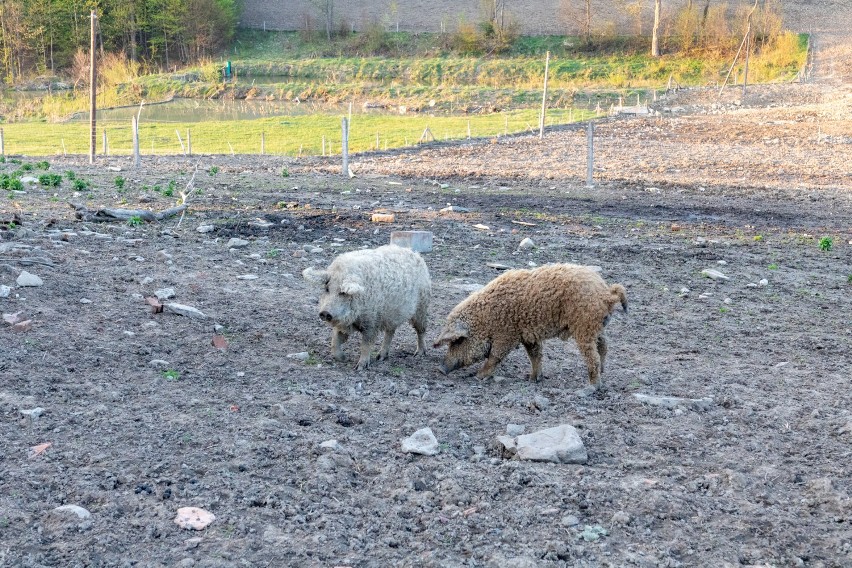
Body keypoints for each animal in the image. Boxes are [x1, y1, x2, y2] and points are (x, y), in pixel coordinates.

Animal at [302, 245, 430, 370]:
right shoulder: (343, 324)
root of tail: (415, 253)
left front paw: (360, 367)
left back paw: (419, 354)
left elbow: (366, 344)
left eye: (342, 292)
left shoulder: (372, 321)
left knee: (420, 330)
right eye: (327, 289)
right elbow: (335, 341)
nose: (324, 312)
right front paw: (343, 359)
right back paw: (380, 357)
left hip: (422, 306)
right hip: (392, 314)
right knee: (390, 332)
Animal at [432, 264, 624, 388]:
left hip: (584, 326)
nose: (440, 369)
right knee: (604, 345)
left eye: (458, 341)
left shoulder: (507, 334)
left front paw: (478, 377)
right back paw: (603, 372)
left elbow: (495, 356)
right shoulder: (528, 336)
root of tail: (606, 293)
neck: (486, 319)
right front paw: (533, 379)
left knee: (593, 356)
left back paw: (592, 387)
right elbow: (535, 355)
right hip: (597, 326)